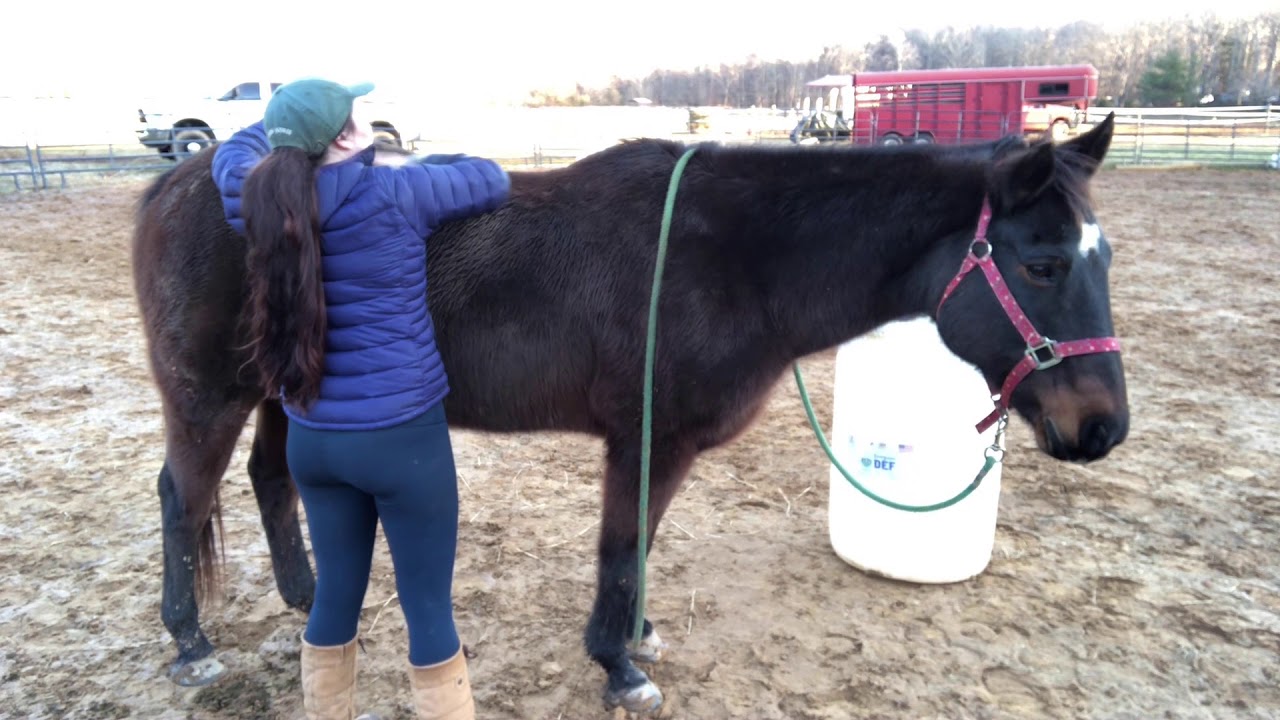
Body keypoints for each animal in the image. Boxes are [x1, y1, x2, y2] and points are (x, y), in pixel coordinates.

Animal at [130, 114, 1128, 712]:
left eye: (1102, 256)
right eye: (1041, 263)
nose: (1102, 428)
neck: (733, 258)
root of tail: (184, 183)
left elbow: (640, 546)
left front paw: (637, 634)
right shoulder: (645, 439)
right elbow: (621, 546)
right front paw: (618, 664)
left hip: (281, 395)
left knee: (269, 479)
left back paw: (309, 600)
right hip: (210, 395)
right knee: (183, 496)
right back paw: (190, 642)